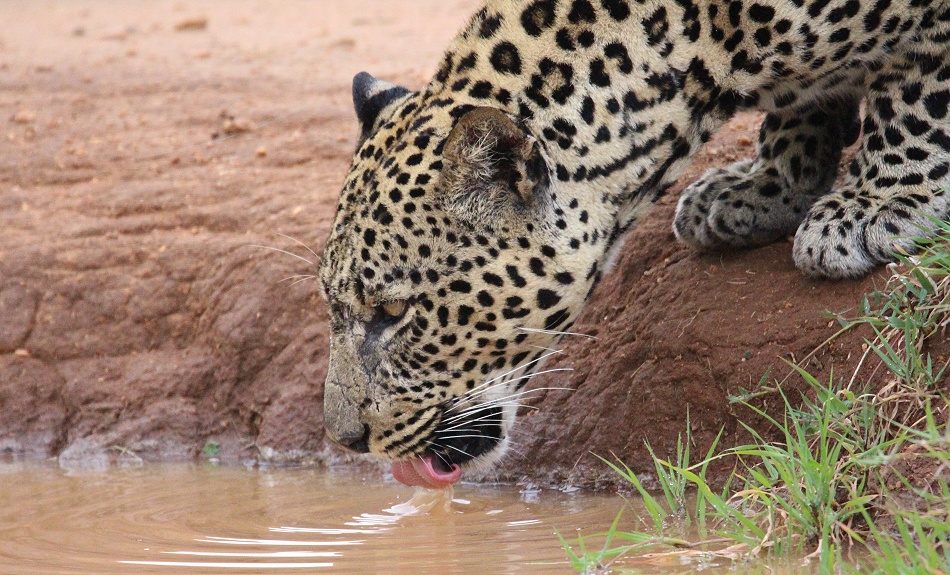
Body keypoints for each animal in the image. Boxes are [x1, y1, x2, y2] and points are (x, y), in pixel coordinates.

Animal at [317, 0, 950, 487]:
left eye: (394, 313)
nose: (346, 439)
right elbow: (803, 105)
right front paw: (767, 184)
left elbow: (920, 89)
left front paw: (881, 201)